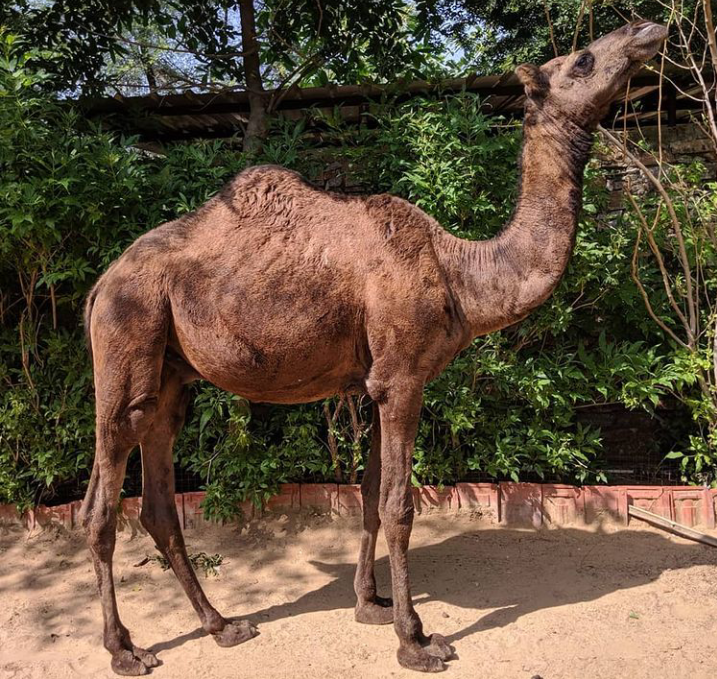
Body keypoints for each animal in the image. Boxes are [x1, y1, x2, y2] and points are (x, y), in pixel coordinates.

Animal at [81, 19, 668, 676]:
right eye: (583, 58)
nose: (647, 29)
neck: (458, 272)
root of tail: (101, 283)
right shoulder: (402, 379)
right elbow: (399, 505)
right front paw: (416, 639)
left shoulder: (376, 380)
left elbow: (367, 496)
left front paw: (372, 606)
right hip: (127, 333)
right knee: (102, 498)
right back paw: (125, 648)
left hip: (170, 376)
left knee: (158, 493)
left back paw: (223, 626)